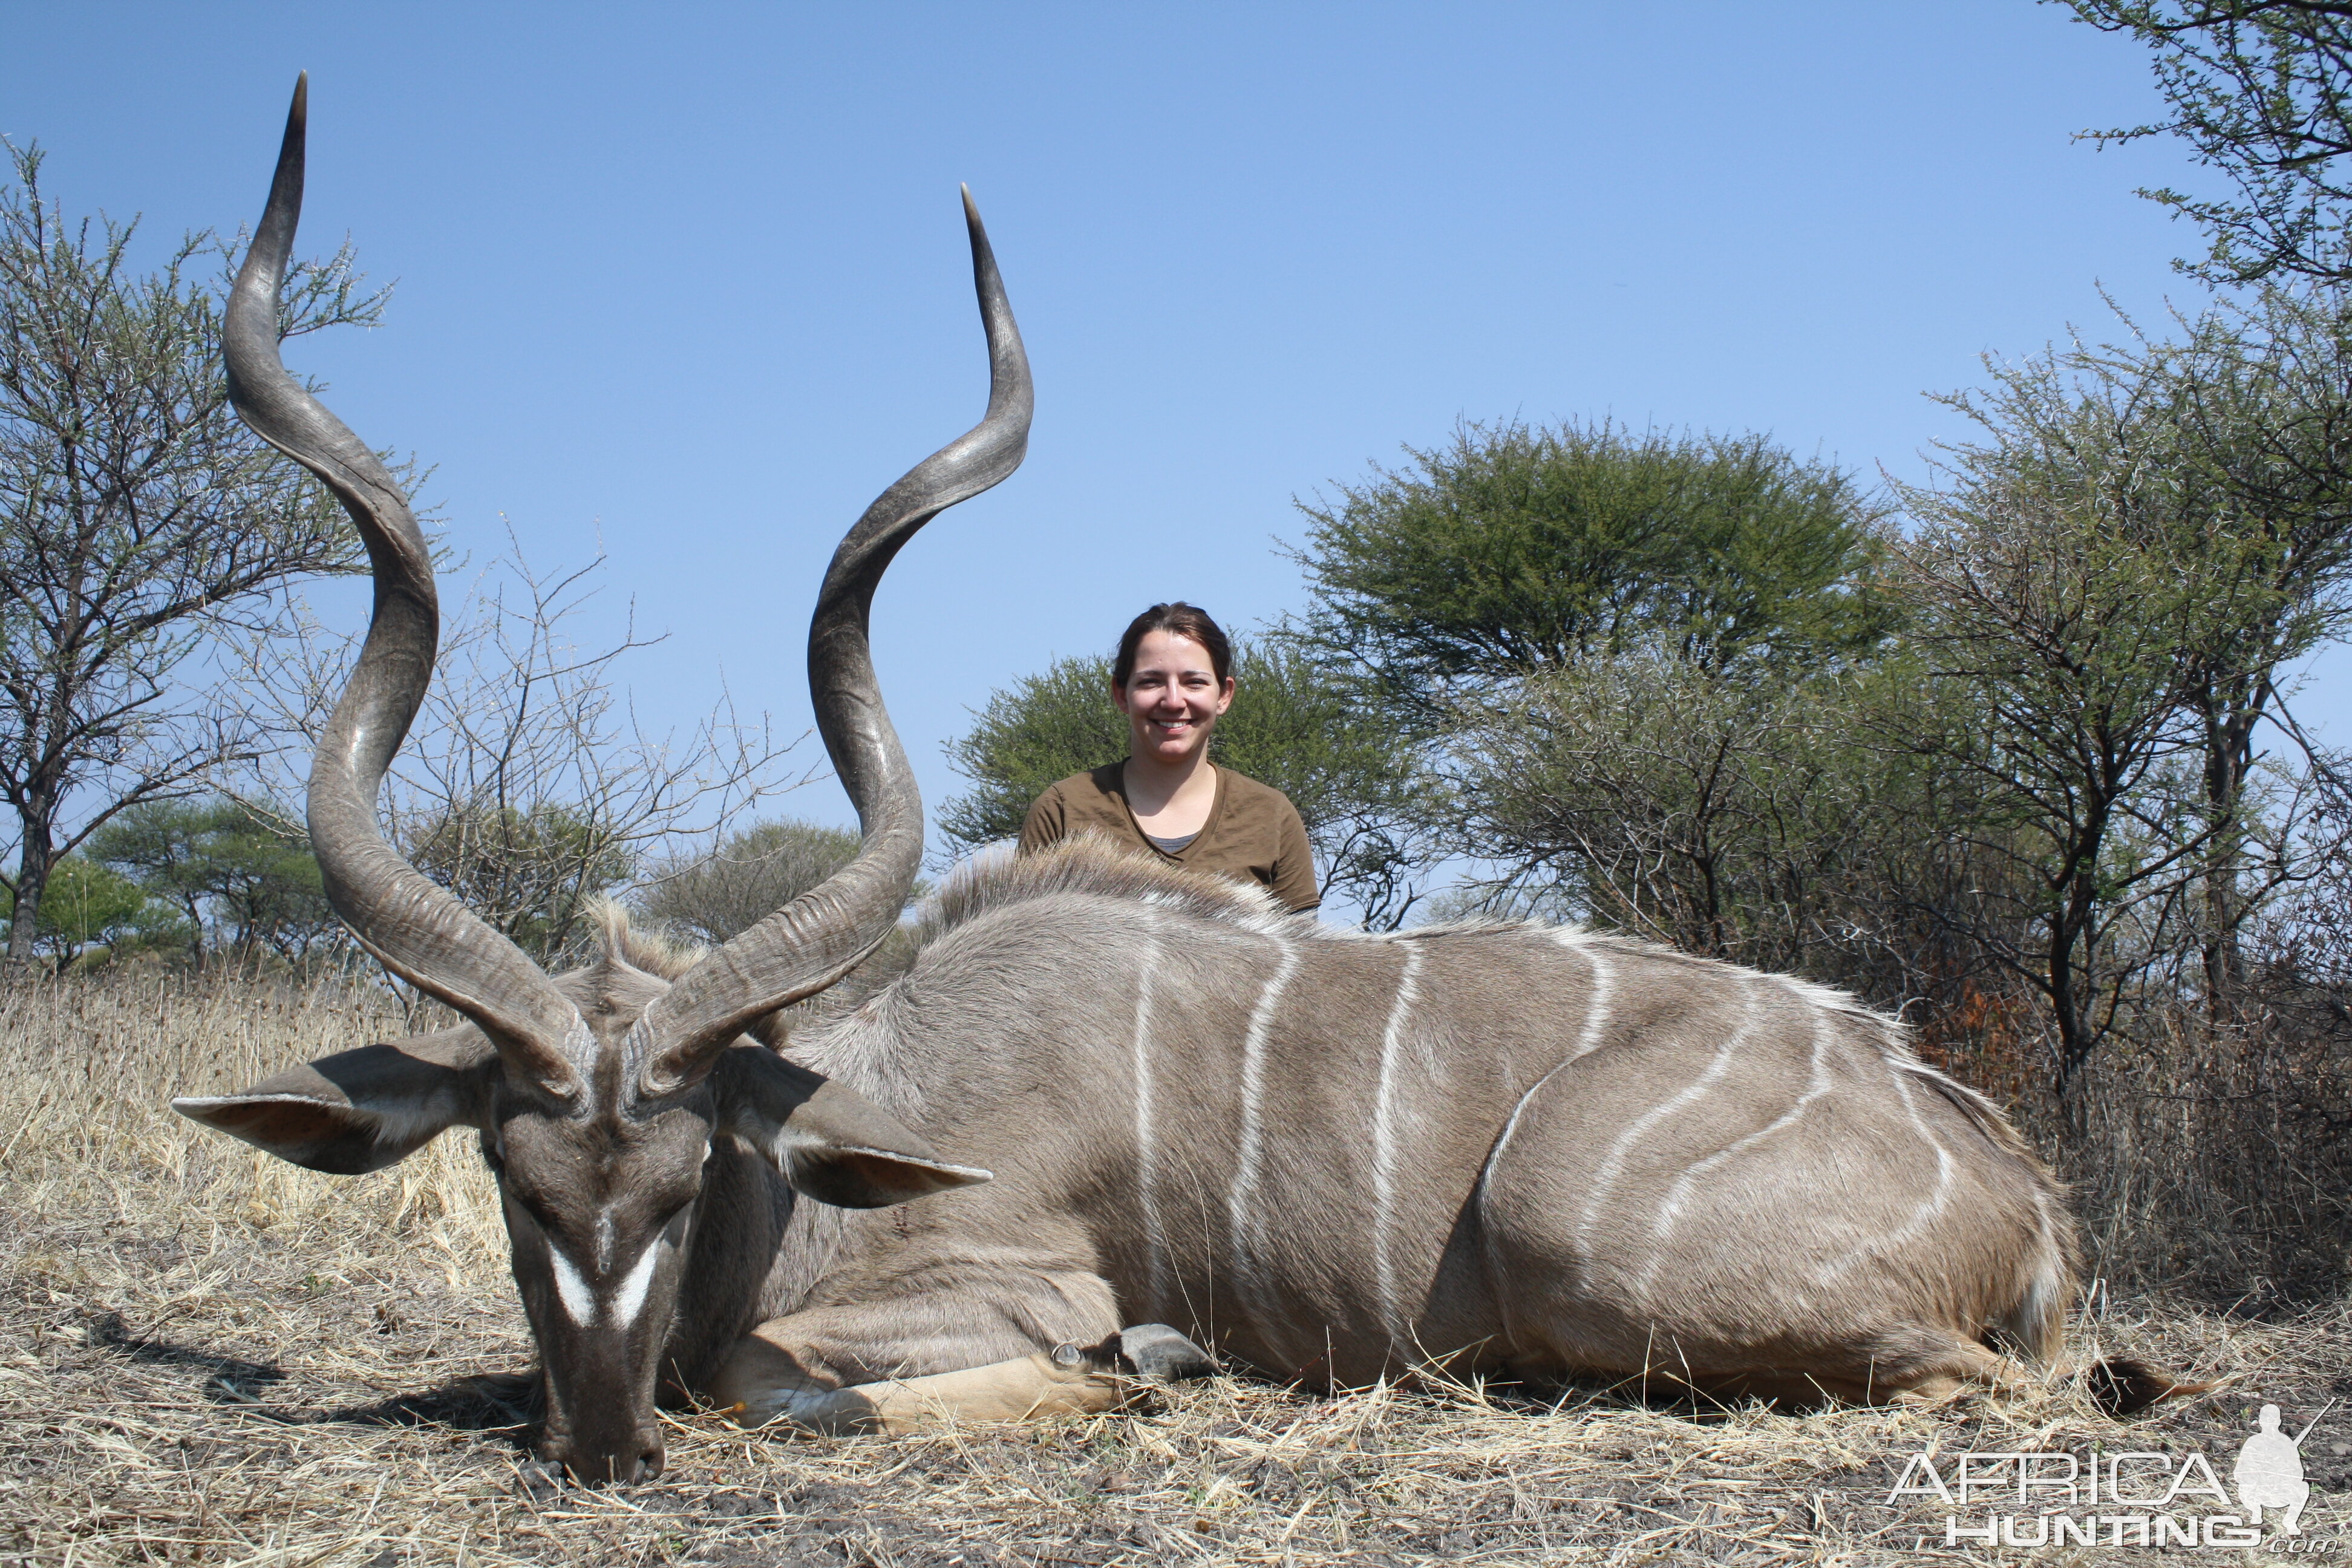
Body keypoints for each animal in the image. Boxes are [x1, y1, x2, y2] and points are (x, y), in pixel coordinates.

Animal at [178, 80, 2183, 1495]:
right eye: (516, 1185)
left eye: (684, 1185)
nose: (601, 1446)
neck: (847, 1117)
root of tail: (2007, 1172)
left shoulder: (1002, 1279)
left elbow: (786, 1376)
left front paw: (1146, 1369)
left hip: (1590, 1242)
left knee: (1982, 1386)